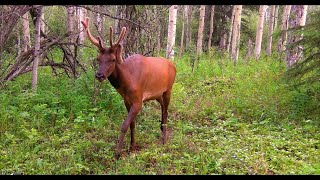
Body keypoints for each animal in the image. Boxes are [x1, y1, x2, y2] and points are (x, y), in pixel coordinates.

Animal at [80, 17, 175, 160]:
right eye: (98, 58)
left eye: (113, 59)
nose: (99, 75)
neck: (127, 81)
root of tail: (173, 65)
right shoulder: (126, 100)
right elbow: (132, 124)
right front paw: (132, 146)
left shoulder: (138, 101)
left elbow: (124, 125)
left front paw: (118, 153)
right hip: (157, 94)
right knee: (163, 108)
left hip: (168, 89)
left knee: (166, 111)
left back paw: (164, 139)